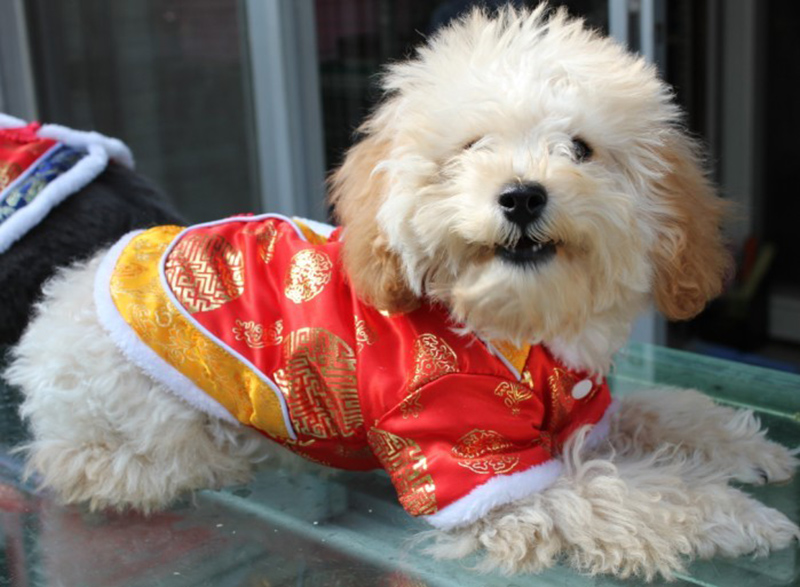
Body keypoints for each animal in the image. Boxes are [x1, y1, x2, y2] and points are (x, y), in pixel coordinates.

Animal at [4, 5, 798, 580]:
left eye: (580, 148)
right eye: (472, 146)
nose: (521, 195)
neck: (514, 327)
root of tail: (59, 299)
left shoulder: (584, 408)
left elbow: (667, 411)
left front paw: (745, 447)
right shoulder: (473, 460)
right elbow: (628, 494)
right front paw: (745, 518)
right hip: (155, 431)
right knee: (113, 467)